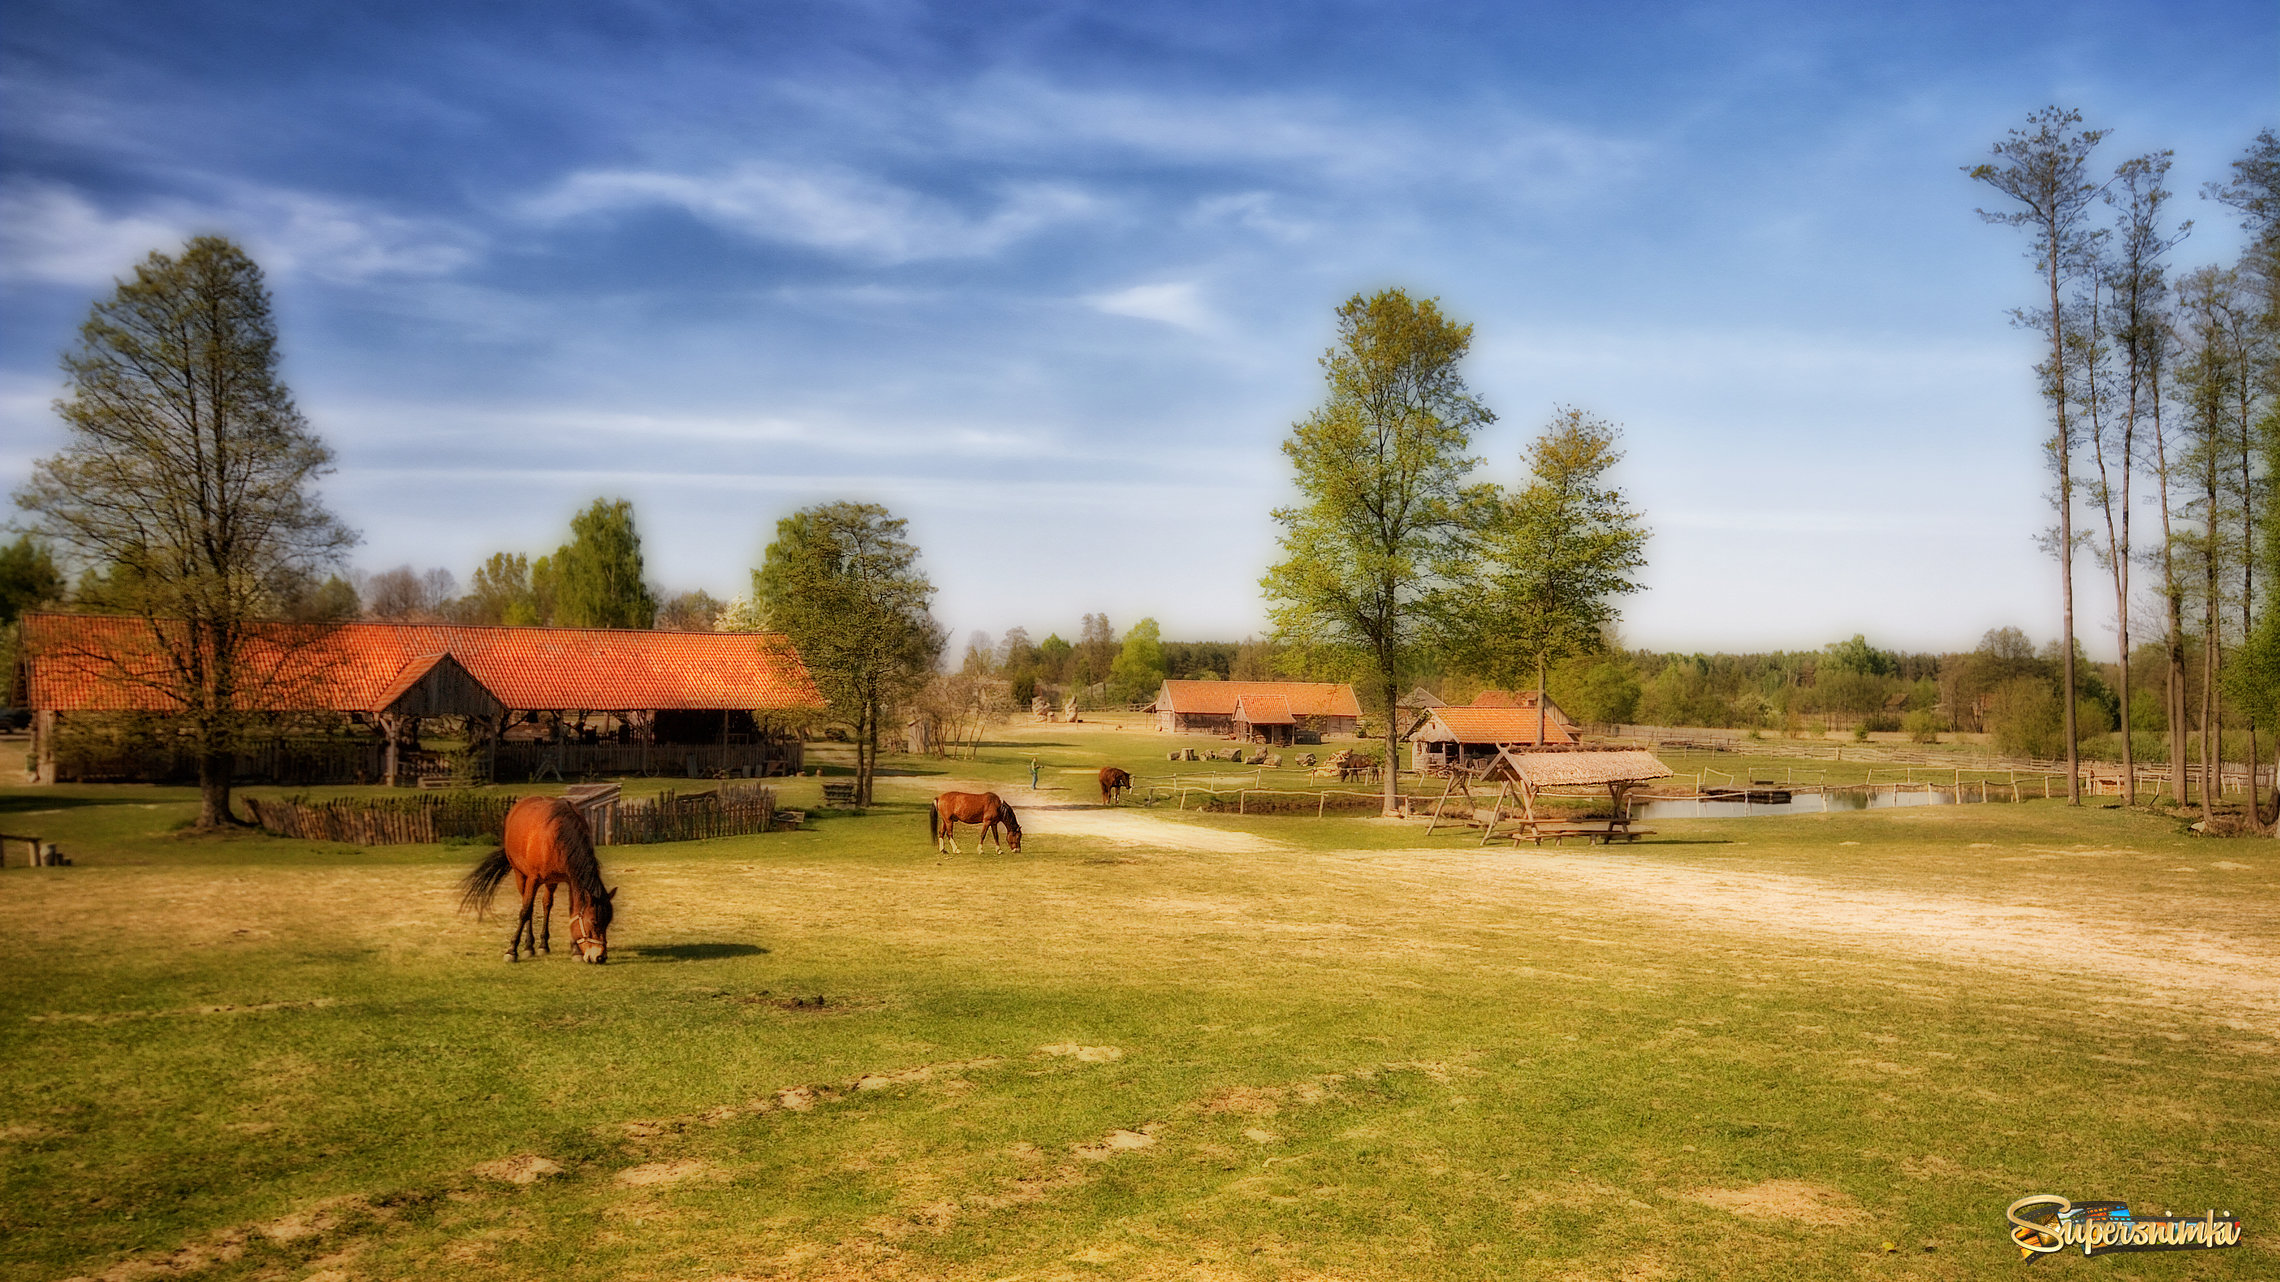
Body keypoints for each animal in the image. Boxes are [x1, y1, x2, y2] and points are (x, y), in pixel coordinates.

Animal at [458, 793, 620, 962]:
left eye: (607, 922)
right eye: (594, 922)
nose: (600, 957)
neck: (557, 835)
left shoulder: (570, 880)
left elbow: (572, 912)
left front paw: (575, 950)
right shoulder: (533, 879)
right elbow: (525, 911)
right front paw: (512, 950)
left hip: (551, 881)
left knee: (546, 904)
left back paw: (543, 944)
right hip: (520, 875)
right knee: (528, 906)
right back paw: (529, 946)